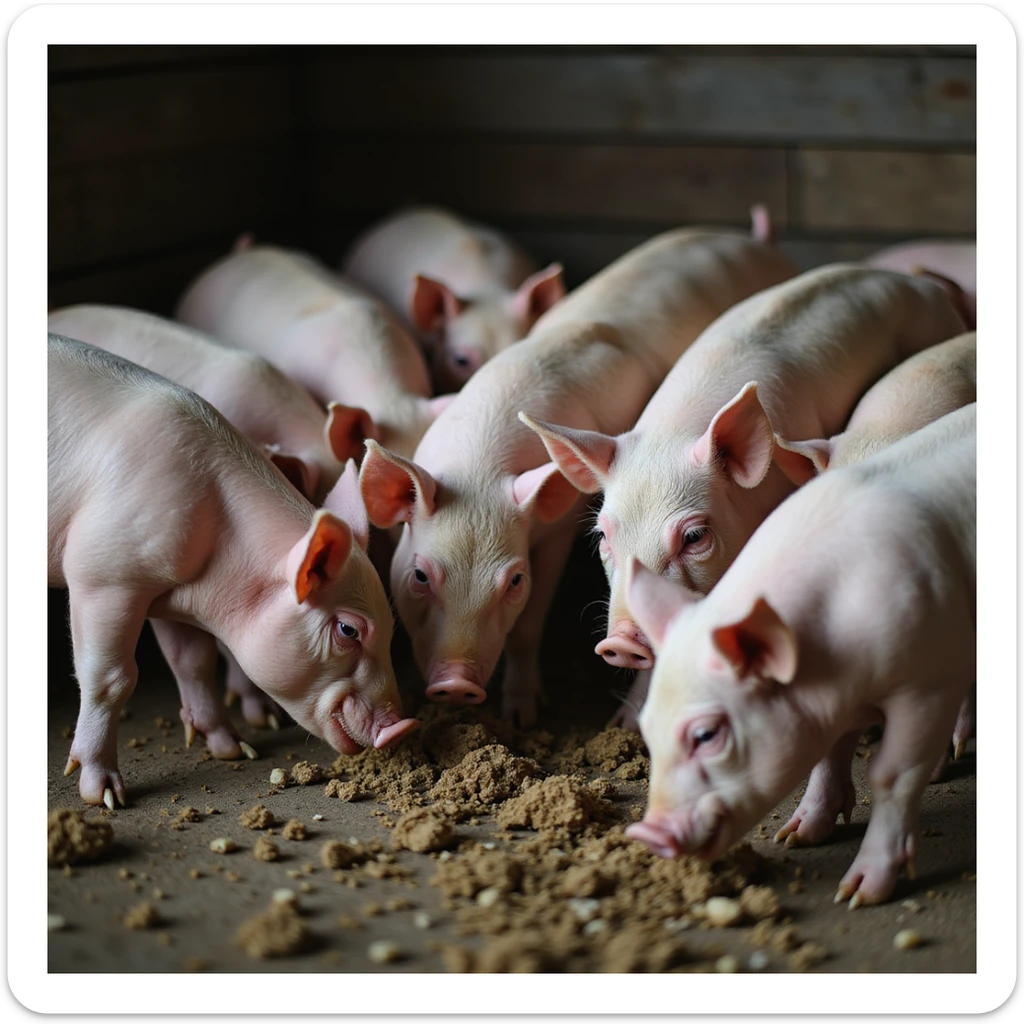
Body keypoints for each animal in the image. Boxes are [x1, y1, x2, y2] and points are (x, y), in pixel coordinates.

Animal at [49, 335, 417, 808]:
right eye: (349, 630)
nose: (403, 726)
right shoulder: (103, 575)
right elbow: (111, 679)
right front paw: (107, 796)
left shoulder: (165, 592)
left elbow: (193, 662)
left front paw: (235, 749)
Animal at [357, 213, 797, 727]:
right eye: (420, 576)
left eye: (514, 580)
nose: (455, 684)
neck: (479, 472)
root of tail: (754, 239)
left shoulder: (559, 529)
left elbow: (529, 627)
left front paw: (521, 718)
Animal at [520, 264, 967, 729]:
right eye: (603, 536)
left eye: (694, 537)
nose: (621, 643)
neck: (674, 432)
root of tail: (918, 282)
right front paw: (623, 726)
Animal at [625, 402, 976, 907]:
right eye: (648, 730)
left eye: (707, 735)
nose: (646, 833)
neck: (836, 667)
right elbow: (826, 755)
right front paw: (795, 836)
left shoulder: (928, 683)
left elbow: (891, 775)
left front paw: (856, 894)